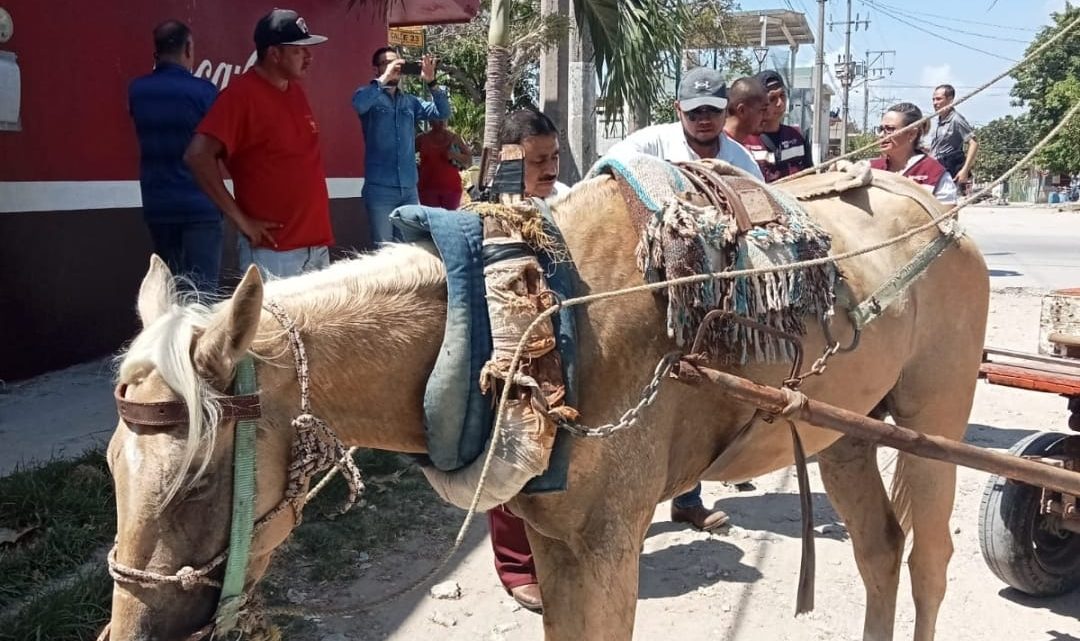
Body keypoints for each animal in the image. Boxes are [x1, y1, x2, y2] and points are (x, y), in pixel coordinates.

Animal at [107, 169, 989, 638]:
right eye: (114, 465)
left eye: (197, 480)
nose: (125, 630)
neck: (521, 324)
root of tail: (938, 208)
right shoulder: (553, 539)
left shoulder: (607, 547)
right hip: (844, 430)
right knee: (879, 549)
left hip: (934, 422)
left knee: (929, 559)